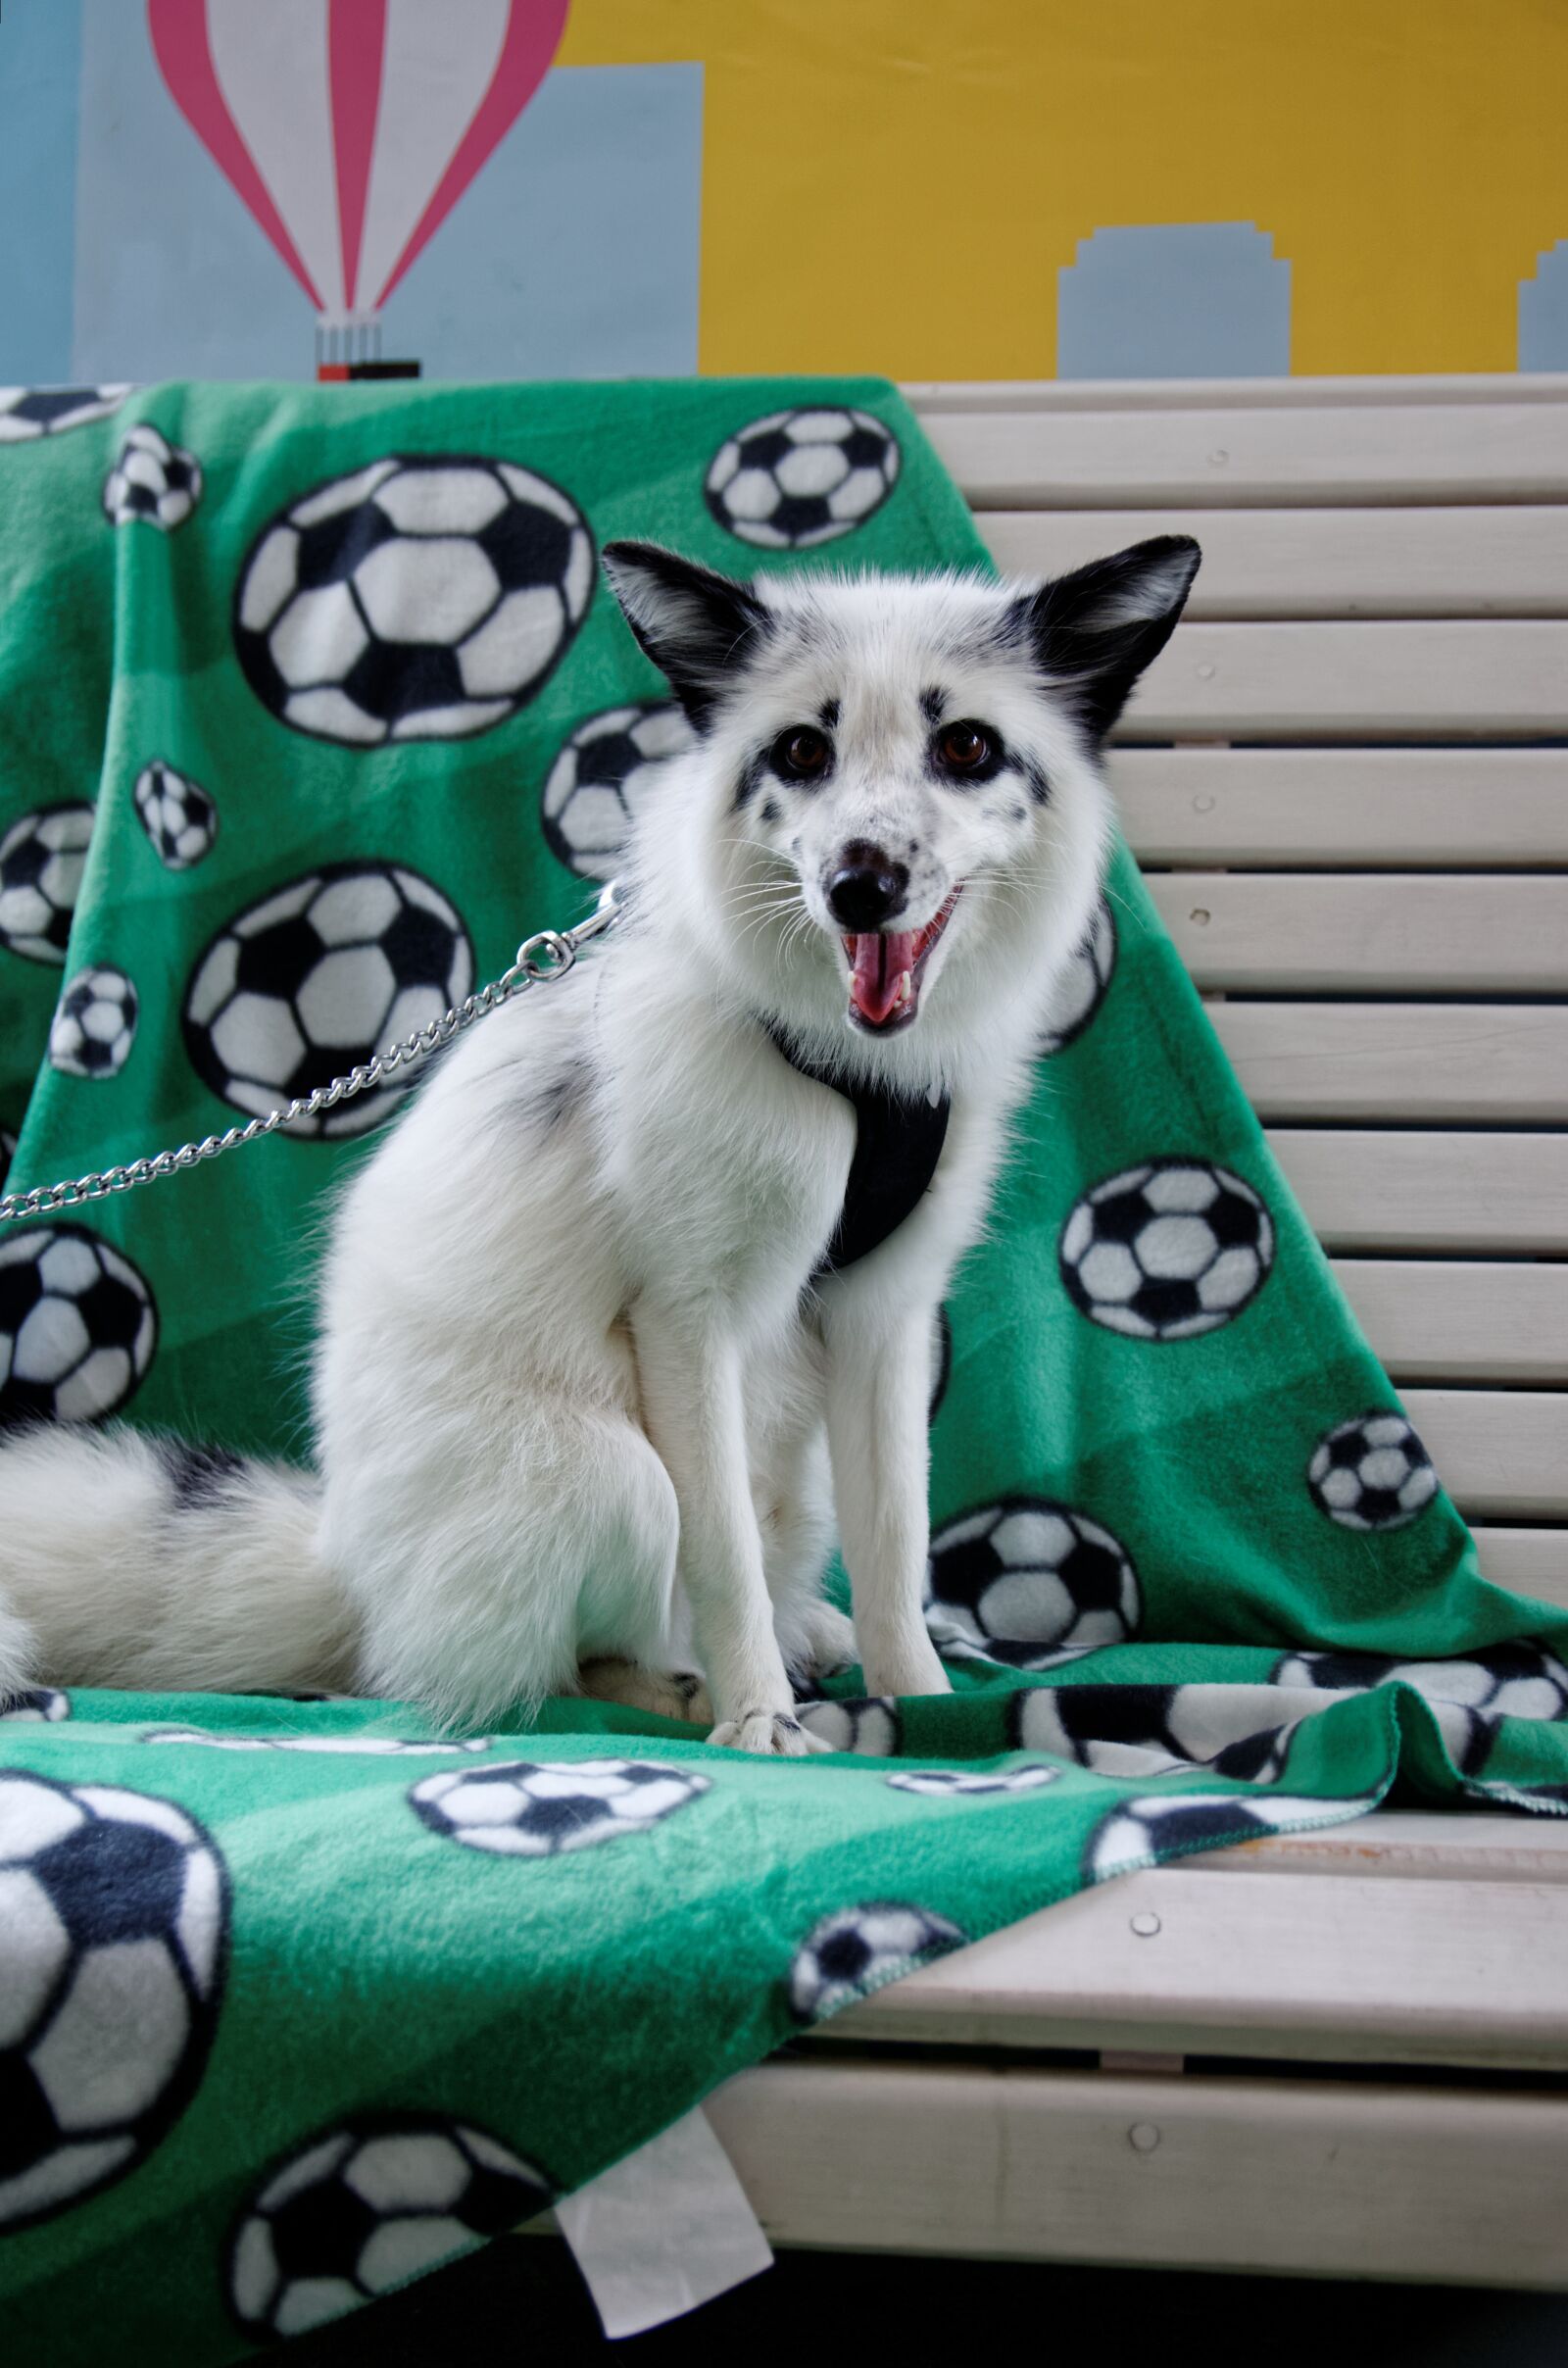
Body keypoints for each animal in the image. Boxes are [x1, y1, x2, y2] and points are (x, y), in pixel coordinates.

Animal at [0, 532, 1200, 1753]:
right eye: (802, 750)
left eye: (965, 746)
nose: (860, 888)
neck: (845, 1075)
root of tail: (344, 1566)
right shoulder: (684, 1319)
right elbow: (722, 1563)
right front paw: (759, 1721)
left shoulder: (887, 1319)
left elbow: (897, 1544)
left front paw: (921, 1702)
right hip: (609, 1474)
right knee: (538, 1668)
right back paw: (687, 1689)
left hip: (793, 1471)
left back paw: (812, 1638)